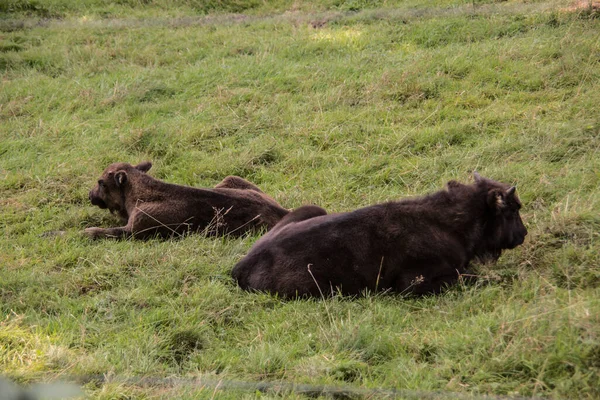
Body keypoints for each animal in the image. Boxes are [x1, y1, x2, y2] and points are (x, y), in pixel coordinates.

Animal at [85, 161, 290, 239]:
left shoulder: (135, 229)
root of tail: (282, 211)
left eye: (101, 182)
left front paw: (83, 232)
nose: (90, 195)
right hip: (232, 178)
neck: (137, 191)